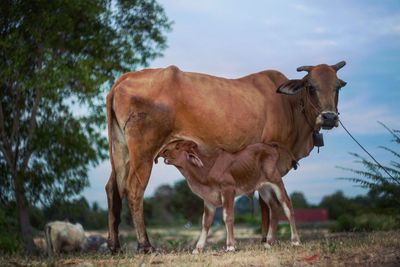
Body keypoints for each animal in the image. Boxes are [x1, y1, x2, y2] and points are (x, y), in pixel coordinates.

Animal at [158, 140, 298, 253]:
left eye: (177, 147)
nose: (163, 151)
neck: (206, 170)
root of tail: (271, 146)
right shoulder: (208, 198)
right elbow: (206, 222)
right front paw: (198, 248)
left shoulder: (228, 189)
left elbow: (228, 216)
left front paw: (230, 246)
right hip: (263, 187)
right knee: (274, 207)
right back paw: (269, 242)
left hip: (276, 180)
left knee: (287, 205)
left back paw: (295, 241)